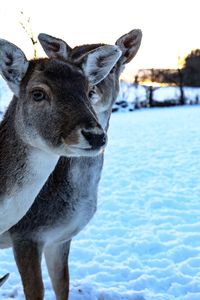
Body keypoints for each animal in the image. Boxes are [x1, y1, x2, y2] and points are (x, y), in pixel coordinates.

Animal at [0, 28, 141, 300]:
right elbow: (36, 291)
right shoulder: (25, 235)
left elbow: (62, 285)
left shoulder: (59, 239)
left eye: (86, 89)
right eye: (38, 93)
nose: (95, 135)